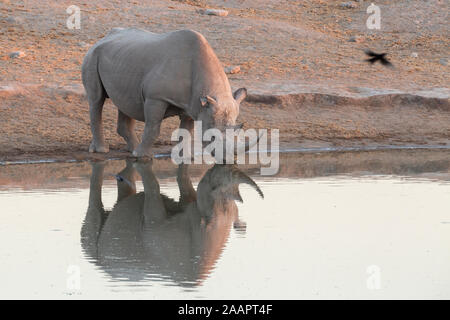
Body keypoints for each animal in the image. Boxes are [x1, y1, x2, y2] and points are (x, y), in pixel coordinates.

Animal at [81, 28, 250, 158]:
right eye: (213, 136)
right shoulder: (156, 98)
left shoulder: (193, 103)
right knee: (96, 100)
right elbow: (153, 128)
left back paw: (131, 149)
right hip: (92, 56)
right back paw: (103, 150)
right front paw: (141, 156)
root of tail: (103, 38)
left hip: (121, 58)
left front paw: (185, 157)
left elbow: (186, 131)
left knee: (125, 103)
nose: (227, 159)